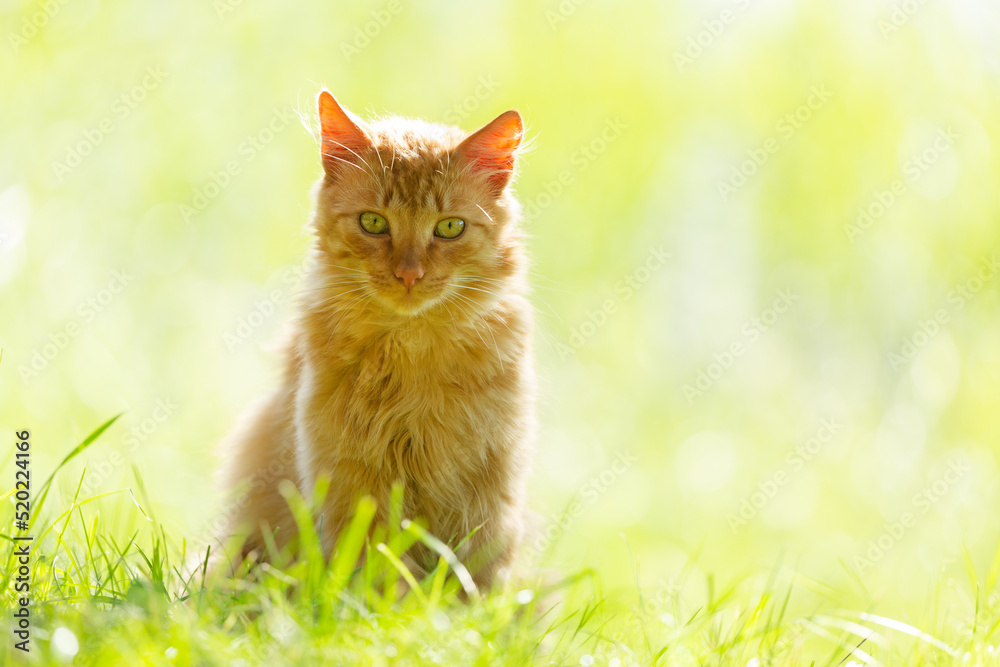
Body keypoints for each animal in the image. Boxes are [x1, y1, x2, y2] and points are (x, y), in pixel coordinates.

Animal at [212, 87, 536, 588]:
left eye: (450, 227)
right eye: (373, 223)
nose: (408, 275)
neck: (410, 350)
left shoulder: (486, 488)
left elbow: (470, 583)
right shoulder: (355, 480)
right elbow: (379, 575)